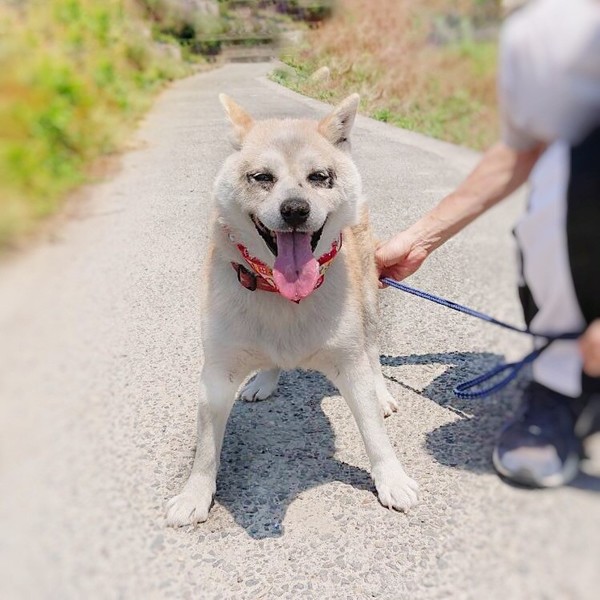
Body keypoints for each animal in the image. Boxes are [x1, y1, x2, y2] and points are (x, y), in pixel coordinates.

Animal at [165, 93, 419, 526]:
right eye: (261, 177)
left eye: (319, 177)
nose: (296, 209)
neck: (281, 291)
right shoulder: (216, 373)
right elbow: (205, 445)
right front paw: (195, 494)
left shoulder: (349, 363)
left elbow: (373, 433)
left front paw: (392, 479)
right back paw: (265, 381)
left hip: (368, 304)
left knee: (373, 352)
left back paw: (382, 392)